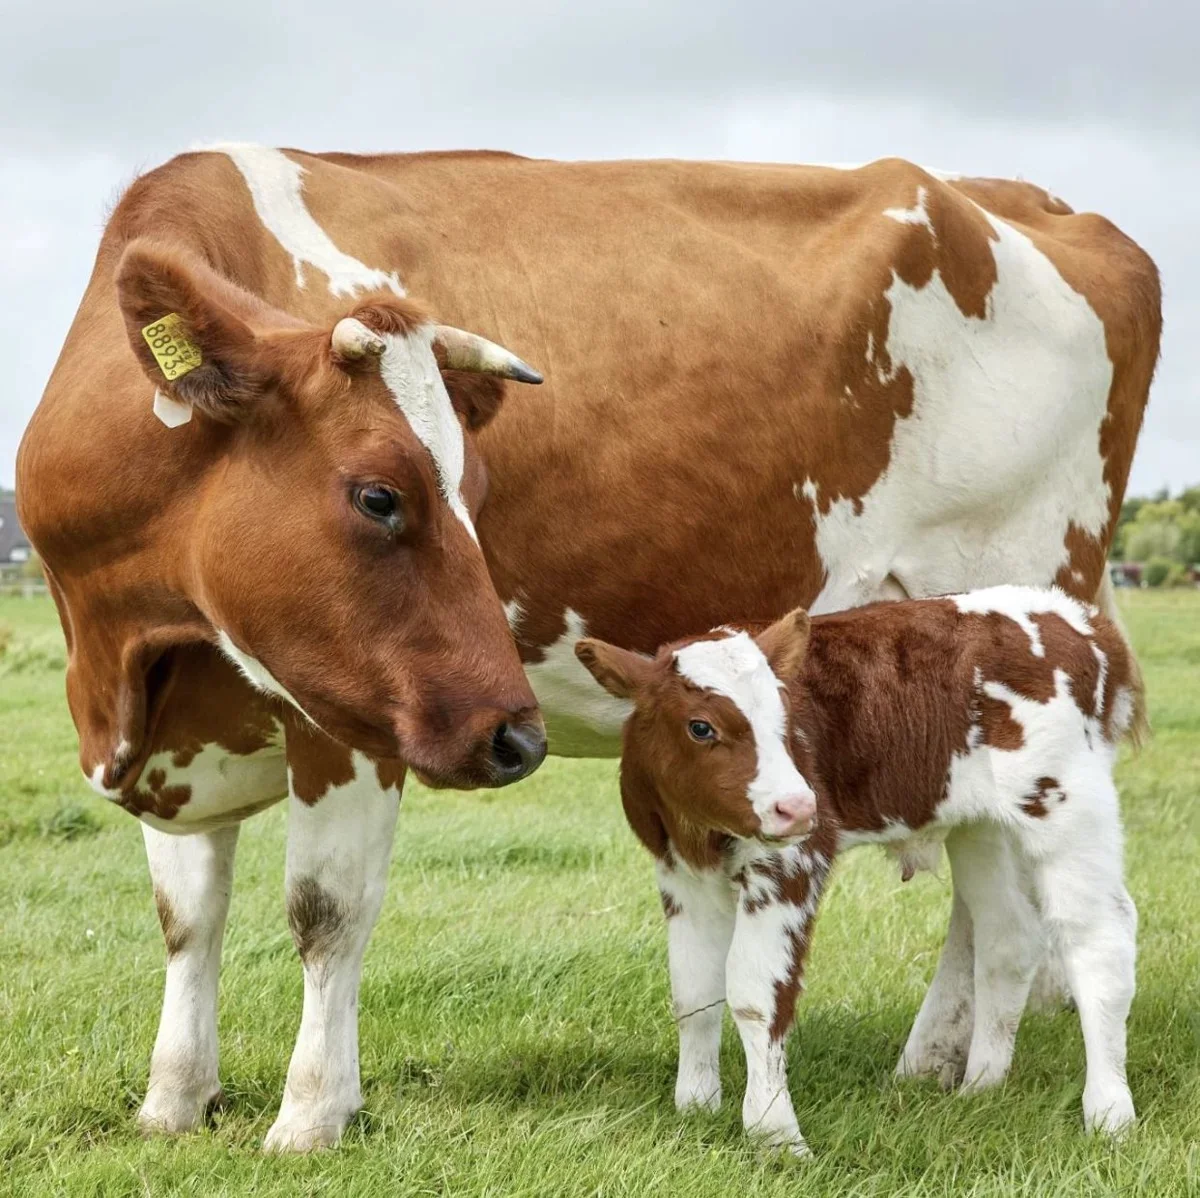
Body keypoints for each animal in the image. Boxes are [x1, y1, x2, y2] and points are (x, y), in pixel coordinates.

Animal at [575, 586, 1141, 1152]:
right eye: (700, 726)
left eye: (786, 721)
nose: (797, 807)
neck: (701, 834)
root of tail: (1074, 617)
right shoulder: (680, 874)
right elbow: (693, 989)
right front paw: (695, 1106)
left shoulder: (791, 862)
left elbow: (756, 994)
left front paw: (774, 1133)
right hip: (982, 823)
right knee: (1009, 935)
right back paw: (980, 1086)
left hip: (1067, 801)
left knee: (1097, 938)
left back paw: (1109, 1113)